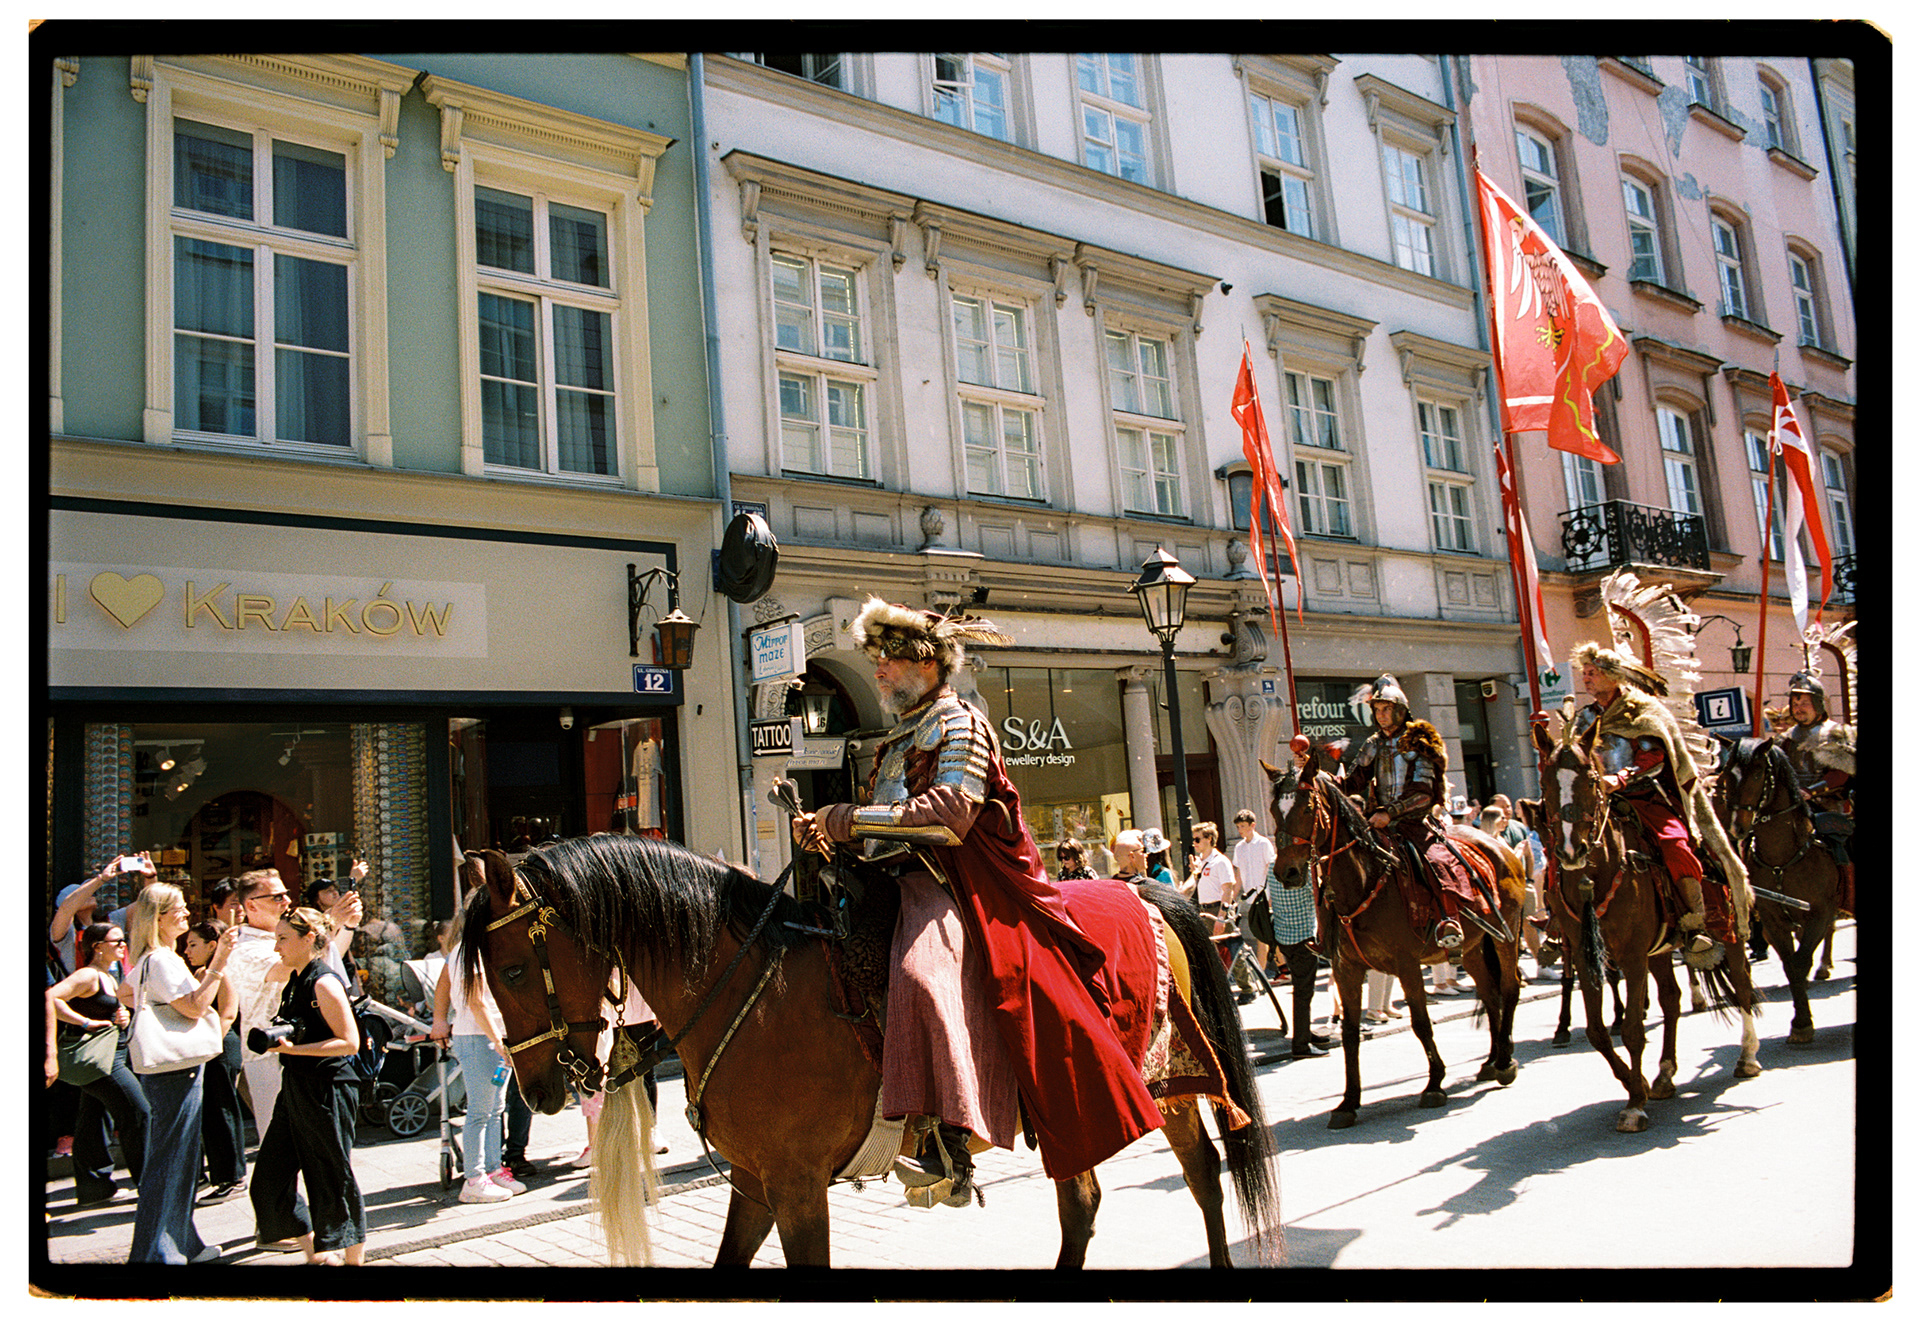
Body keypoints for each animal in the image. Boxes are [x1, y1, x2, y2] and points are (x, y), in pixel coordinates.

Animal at [457, 836, 1281, 1269]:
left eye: (515, 969)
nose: (534, 1089)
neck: (747, 987)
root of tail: (1142, 886)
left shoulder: (797, 1189)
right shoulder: (756, 1184)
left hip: (1170, 1086)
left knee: (1203, 1177)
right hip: (1065, 1110)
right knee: (1081, 1204)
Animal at [1268, 748, 1527, 1129]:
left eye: (1307, 808)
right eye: (1275, 810)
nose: (1286, 872)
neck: (1364, 881)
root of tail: (1498, 845)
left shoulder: (1407, 964)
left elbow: (1421, 1022)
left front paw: (1434, 1083)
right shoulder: (1347, 970)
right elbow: (1349, 1033)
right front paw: (1348, 1102)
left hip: (1505, 935)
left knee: (1508, 988)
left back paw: (1507, 1062)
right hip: (1472, 947)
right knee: (1490, 994)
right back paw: (1491, 1062)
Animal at [1529, 718, 1761, 1133]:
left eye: (1591, 778)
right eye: (1545, 782)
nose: (1570, 852)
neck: (1596, 874)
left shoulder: (1633, 957)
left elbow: (1634, 1031)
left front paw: (1635, 1104)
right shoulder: (1590, 959)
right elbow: (1598, 1032)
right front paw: (1635, 1084)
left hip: (1729, 927)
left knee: (1742, 983)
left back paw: (1748, 1056)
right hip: (1662, 950)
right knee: (1671, 999)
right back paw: (1665, 1075)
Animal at [1712, 736, 1843, 1045]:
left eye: (1758, 774)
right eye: (1726, 776)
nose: (1737, 828)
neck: (1783, 859)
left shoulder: (1819, 913)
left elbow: (1801, 961)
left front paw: (1803, 1023)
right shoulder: (1773, 921)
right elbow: (1791, 966)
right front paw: (1801, 1022)